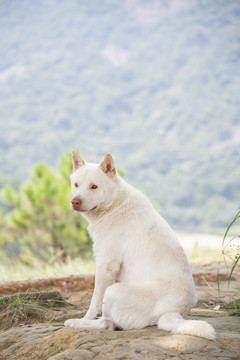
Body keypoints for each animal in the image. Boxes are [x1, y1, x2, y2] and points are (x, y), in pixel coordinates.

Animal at [64, 152, 216, 340]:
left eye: (94, 187)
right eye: (76, 185)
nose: (75, 202)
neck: (114, 205)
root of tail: (173, 312)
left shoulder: (106, 265)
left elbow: (95, 300)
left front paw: (85, 317)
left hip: (114, 291)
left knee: (106, 324)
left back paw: (77, 322)